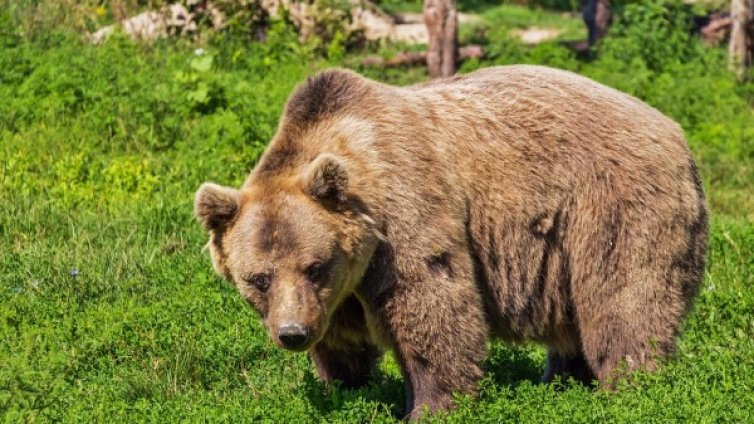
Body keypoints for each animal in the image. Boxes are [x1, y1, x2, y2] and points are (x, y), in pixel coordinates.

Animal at [192, 65, 704, 418]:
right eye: (258, 278)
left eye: (315, 266)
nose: (292, 333)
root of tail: (675, 131)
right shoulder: (339, 293)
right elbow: (342, 341)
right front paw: (346, 387)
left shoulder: (404, 215)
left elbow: (433, 305)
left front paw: (430, 405)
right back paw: (563, 381)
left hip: (612, 204)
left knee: (624, 299)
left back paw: (631, 386)